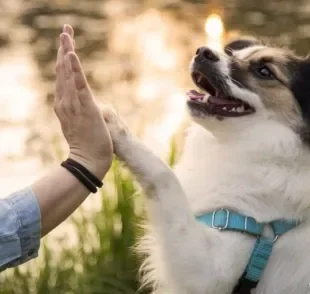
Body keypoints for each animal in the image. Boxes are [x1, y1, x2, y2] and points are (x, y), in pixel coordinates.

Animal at [103, 38, 310, 292]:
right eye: (234, 54)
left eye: (264, 71)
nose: (202, 52)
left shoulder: (212, 271)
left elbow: (165, 177)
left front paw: (117, 130)